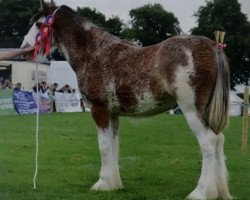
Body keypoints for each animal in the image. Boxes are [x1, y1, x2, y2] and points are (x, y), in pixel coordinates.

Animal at [21, 0, 232, 199]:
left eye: (39, 24)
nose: (24, 49)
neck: (93, 53)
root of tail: (214, 47)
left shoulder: (99, 110)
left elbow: (104, 146)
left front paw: (102, 183)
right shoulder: (113, 115)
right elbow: (113, 146)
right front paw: (113, 184)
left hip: (191, 109)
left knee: (209, 142)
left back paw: (201, 192)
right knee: (219, 140)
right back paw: (219, 191)